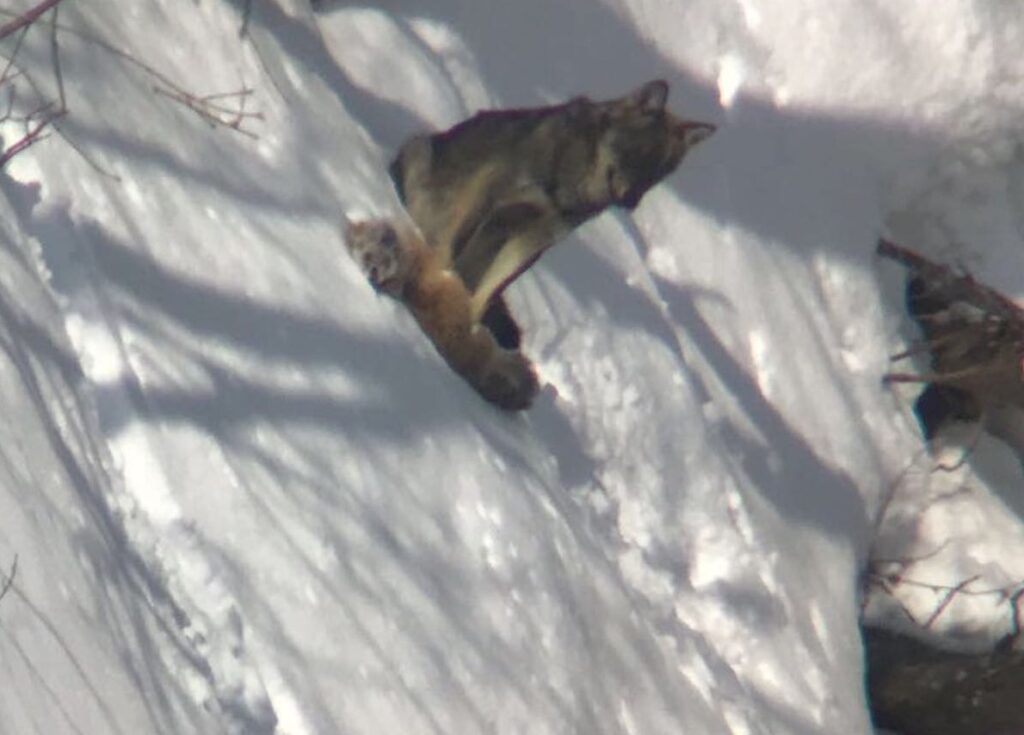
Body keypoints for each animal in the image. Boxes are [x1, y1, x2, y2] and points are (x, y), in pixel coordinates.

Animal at [344, 81, 712, 413]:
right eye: (637, 156)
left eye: (657, 176)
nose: (631, 203)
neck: (567, 186)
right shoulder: (487, 204)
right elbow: (449, 255)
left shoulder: (532, 239)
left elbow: (484, 292)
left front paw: (463, 323)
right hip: (421, 154)